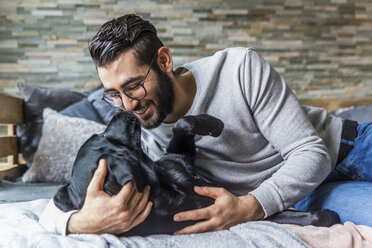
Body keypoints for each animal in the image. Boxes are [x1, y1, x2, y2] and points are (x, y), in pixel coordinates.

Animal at [53, 111, 340, 236]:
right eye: (102, 136)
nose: (118, 109)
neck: (165, 184)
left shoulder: (177, 157)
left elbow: (183, 123)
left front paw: (214, 124)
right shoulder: (226, 208)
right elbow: (279, 214)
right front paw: (325, 216)